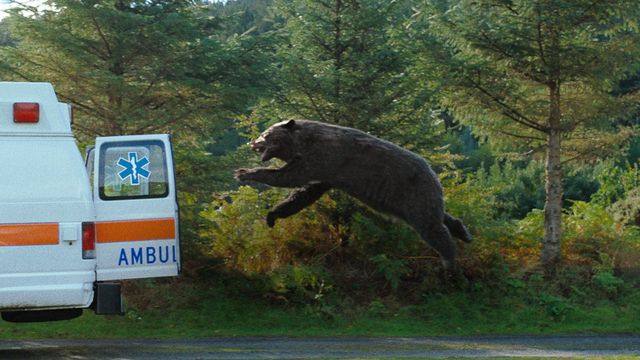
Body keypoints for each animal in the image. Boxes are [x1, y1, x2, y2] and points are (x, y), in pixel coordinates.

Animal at [235, 119, 470, 272]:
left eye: (266, 134)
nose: (253, 142)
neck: (304, 143)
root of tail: (434, 173)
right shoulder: (325, 173)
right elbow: (303, 194)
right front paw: (272, 215)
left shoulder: (322, 158)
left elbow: (289, 177)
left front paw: (244, 172)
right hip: (411, 202)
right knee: (441, 217)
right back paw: (463, 231)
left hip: (413, 193)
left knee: (432, 228)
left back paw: (449, 262)